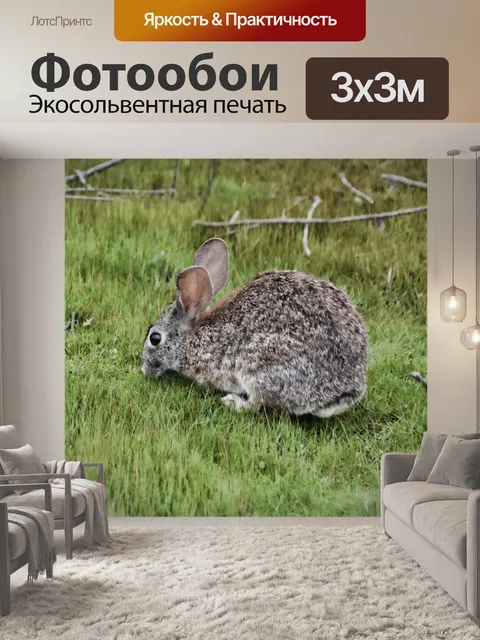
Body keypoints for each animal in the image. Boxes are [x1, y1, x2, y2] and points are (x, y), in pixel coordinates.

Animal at [141, 238, 368, 417]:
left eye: (155, 338)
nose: (143, 369)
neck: (190, 339)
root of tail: (343, 392)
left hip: (259, 365)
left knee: (261, 405)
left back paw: (233, 402)